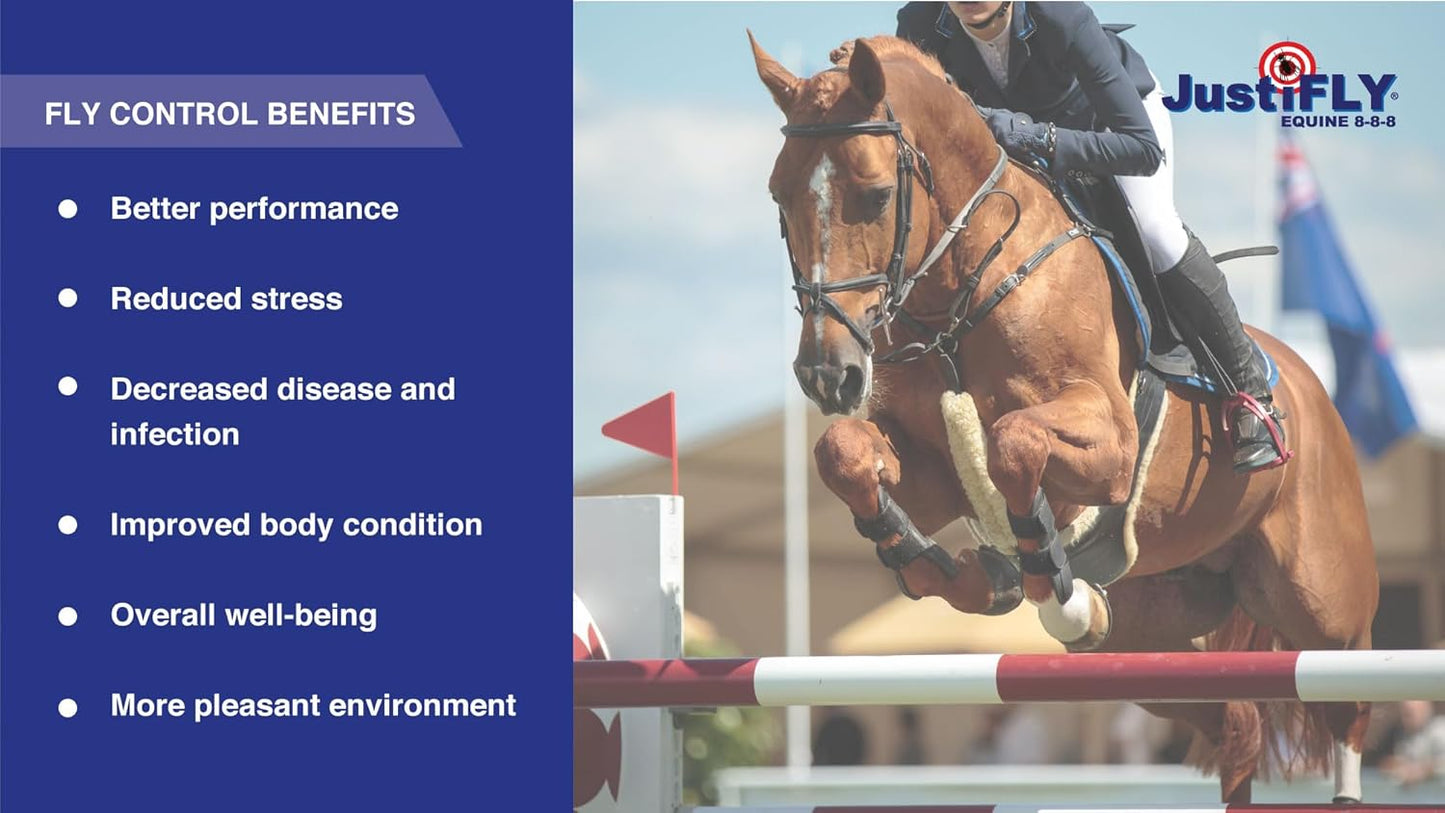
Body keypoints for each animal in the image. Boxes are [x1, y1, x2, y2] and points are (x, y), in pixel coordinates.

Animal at [750, 33, 1379, 804]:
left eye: (874, 195)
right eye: (780, 197)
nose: (827, 375)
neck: (964, 285)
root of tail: (1311, 388)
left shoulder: (1111, 444)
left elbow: (1011, 441)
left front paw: (1045, 579)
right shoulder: (929, 470)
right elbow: (845, 452)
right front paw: (954, 570)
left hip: (1322, 604)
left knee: (1347, 708)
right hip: (1150, 641)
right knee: (1235, 721)